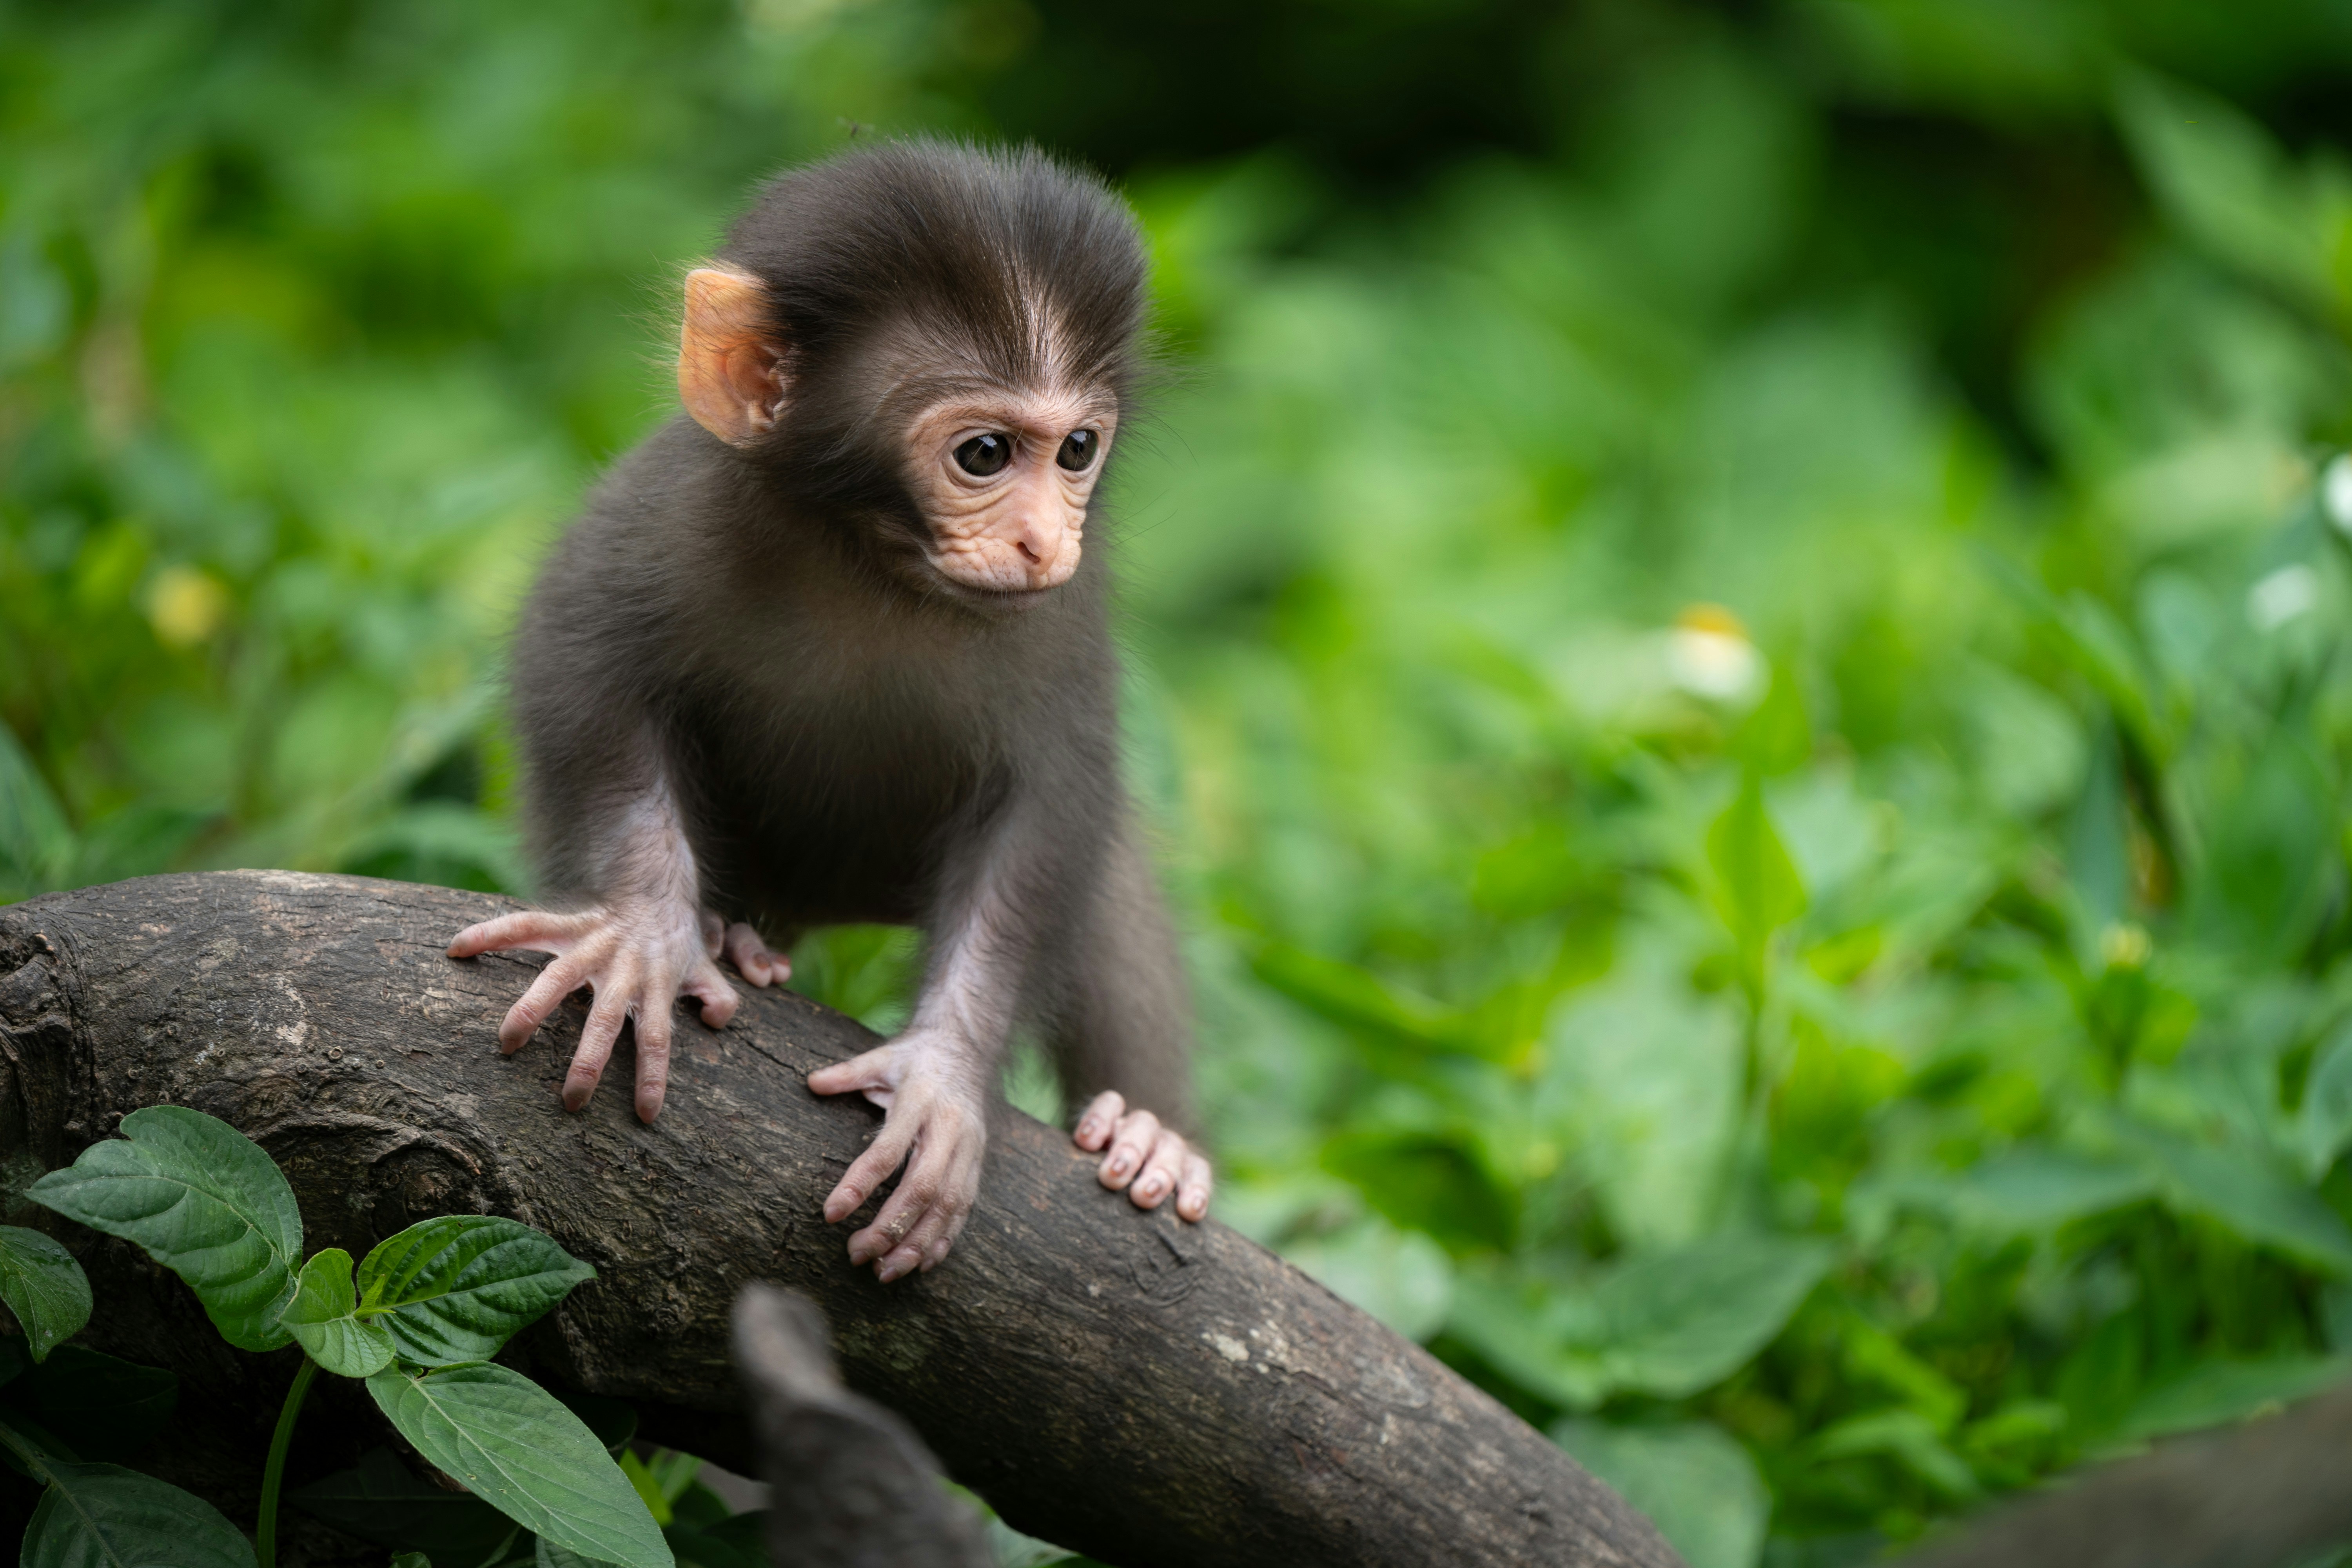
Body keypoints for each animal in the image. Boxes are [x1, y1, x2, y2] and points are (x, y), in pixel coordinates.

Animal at [445, 140, 1209, 1284]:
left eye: (1076, 450)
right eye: (986, 455)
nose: (1043, 540)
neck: (875, 563)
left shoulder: (1060, 629)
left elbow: (1048, 817)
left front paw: (943, 1075)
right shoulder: (666, 515)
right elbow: (583, 667)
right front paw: (646, 932)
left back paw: (1150, 1132)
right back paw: (732, 934)